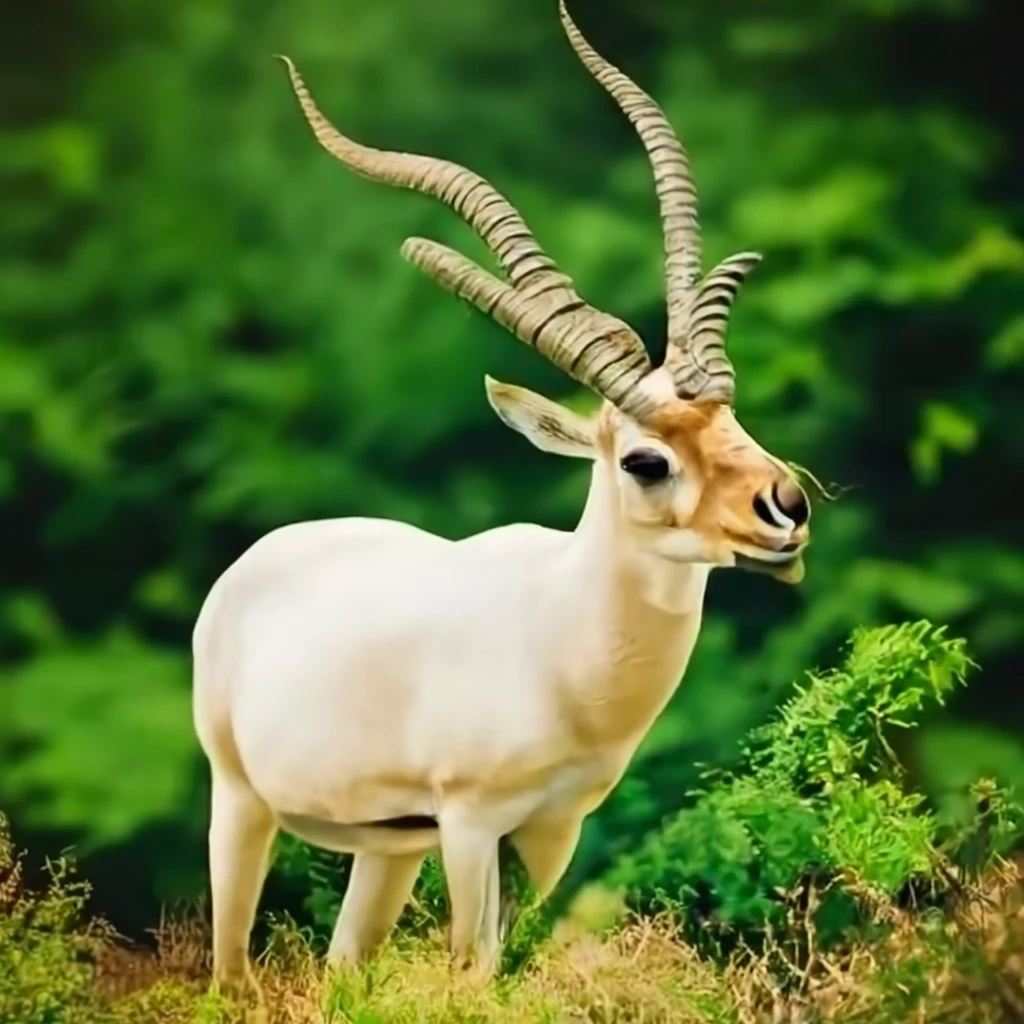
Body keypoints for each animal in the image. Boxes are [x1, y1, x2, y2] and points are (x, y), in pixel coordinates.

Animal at [192, 0, 811, 992]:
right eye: (645, 460)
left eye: (730, 413)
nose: (783, 507)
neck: (560, 640)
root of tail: (260, 558)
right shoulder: (473, 823)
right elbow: (472, 966)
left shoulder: (554, 829)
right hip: (242, 803)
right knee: (229, 965)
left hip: (389, 848)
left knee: (343, 963)